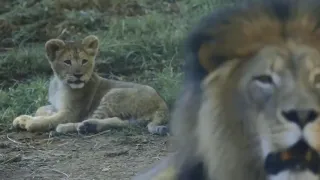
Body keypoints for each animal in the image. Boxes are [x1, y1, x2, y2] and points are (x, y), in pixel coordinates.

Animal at [11, 34, 170, 135]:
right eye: (67, 62)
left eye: (84, 61)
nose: (78, 75)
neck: (61, 84)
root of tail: (163, 104)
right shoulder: (57, 105)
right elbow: (41, 109)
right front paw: (23, 118)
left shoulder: (71, 112)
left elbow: (51, 120)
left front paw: (31, 123)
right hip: (131, 118)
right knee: (117, 121)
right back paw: (89, 127)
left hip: (113, 95)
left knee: (89, 119)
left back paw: (71, 127)